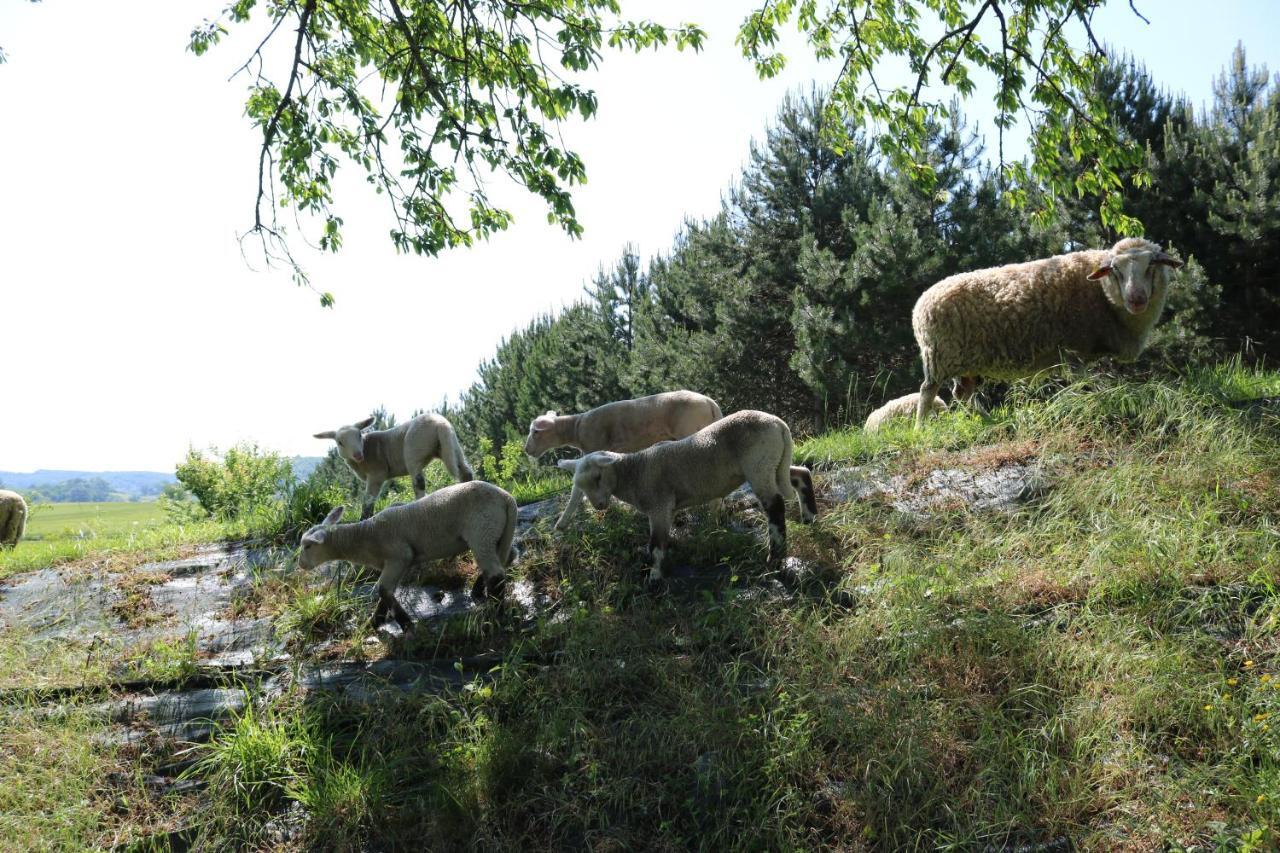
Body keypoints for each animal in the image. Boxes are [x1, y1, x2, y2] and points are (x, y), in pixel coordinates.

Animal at [296, 479, 517, 630]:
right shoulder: (395, 563)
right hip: (497, 534)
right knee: (508, 557)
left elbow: (383, 589)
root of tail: (507, 499)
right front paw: (375, 621)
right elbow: (385, 592)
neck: (365, 536)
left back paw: (495, 613)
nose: (300, 565)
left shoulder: (399, 556)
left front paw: (405, 624)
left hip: (482, 530)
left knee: (495, 572)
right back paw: (479, 592)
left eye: (307, 546)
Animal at [314, 412, 476, 517]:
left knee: (419, 483)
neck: (366, 449)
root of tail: (440, 423)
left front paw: (364, 519)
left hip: (414, 451)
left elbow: (368, 502)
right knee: (465, 472)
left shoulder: (377, 474)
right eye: (340, 442)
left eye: (359, 435)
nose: (358, 455)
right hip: (452, 445)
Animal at [552, 409, 814, 581]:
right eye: (580, 487)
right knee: (801, 473)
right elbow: (661, 542)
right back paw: (809, 516)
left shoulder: (659, 506)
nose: (599, 506)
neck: (635, 471)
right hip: (773, 463)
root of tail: (778, 424)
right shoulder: (665, 509)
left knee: (775, 505)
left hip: (758, 463)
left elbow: (655, 545)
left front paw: (655, 577)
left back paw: (775, 557)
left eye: (597, 477)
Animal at [911, 235, 1177, 425]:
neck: (1103, 296)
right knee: (927, 391)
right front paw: (1098, 401)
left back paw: (991, 421)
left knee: (962, 393)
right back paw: (921, 428)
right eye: (1116, 270)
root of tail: (921, 304)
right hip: (940, 356)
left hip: (964, 362)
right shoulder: (1073, 349)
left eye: (1151, 265)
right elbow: (1086, 383)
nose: (1136, 299)